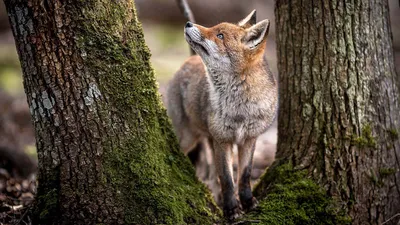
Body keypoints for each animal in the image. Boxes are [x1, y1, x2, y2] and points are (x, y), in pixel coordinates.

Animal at [166, 10, 278, 220]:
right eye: (214, 29)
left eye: (220, 36)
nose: (188, 23)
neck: (240, 109)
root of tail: (188, 60)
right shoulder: (222, 140)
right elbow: (226, 179)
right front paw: (231, 209)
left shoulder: (249, 139)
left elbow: (244, 176)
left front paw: (247, 202)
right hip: (187, 138)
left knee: (212, 176)